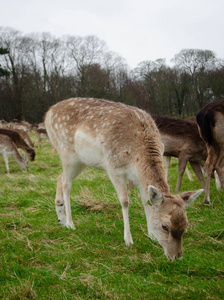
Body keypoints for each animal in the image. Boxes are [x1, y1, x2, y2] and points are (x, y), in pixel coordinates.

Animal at [44, 98, 203, 260]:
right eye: (165, 226)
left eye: (185, 223)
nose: (177, 256)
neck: (136, 156)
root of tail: (48, 113)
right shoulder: (113, 168)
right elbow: (125, 201)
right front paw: (128, 239)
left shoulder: (138, 177)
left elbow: (145, 201)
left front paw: (151, 235)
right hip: (66, 152)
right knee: (66, 184)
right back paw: (70, 223)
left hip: (81, 161)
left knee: (59, 177)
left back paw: (61, 218)